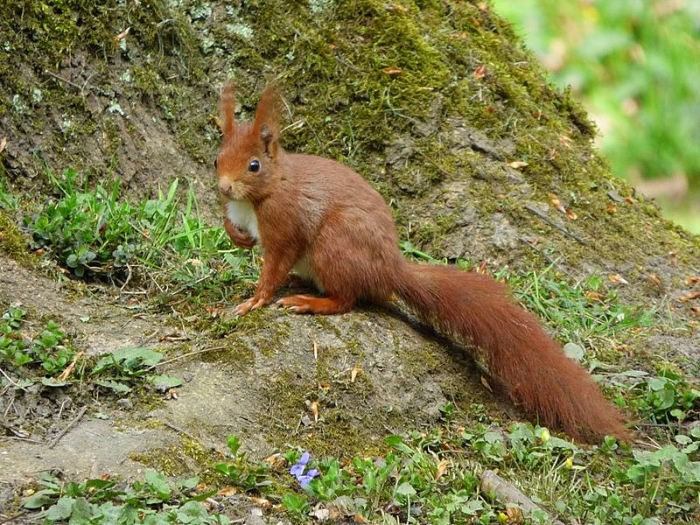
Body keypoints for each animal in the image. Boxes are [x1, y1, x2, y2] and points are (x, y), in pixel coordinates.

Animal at [215, 82, 631, 444]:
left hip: (335, 244)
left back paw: (310, 302)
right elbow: (236, 230)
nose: (223, 187)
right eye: (218, 158)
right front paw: (237, 236)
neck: (266, 190)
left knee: (347, 299)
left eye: (254, 165)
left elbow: (275, 265)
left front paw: (255, 299)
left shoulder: (285, 225)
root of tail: (390, 270)